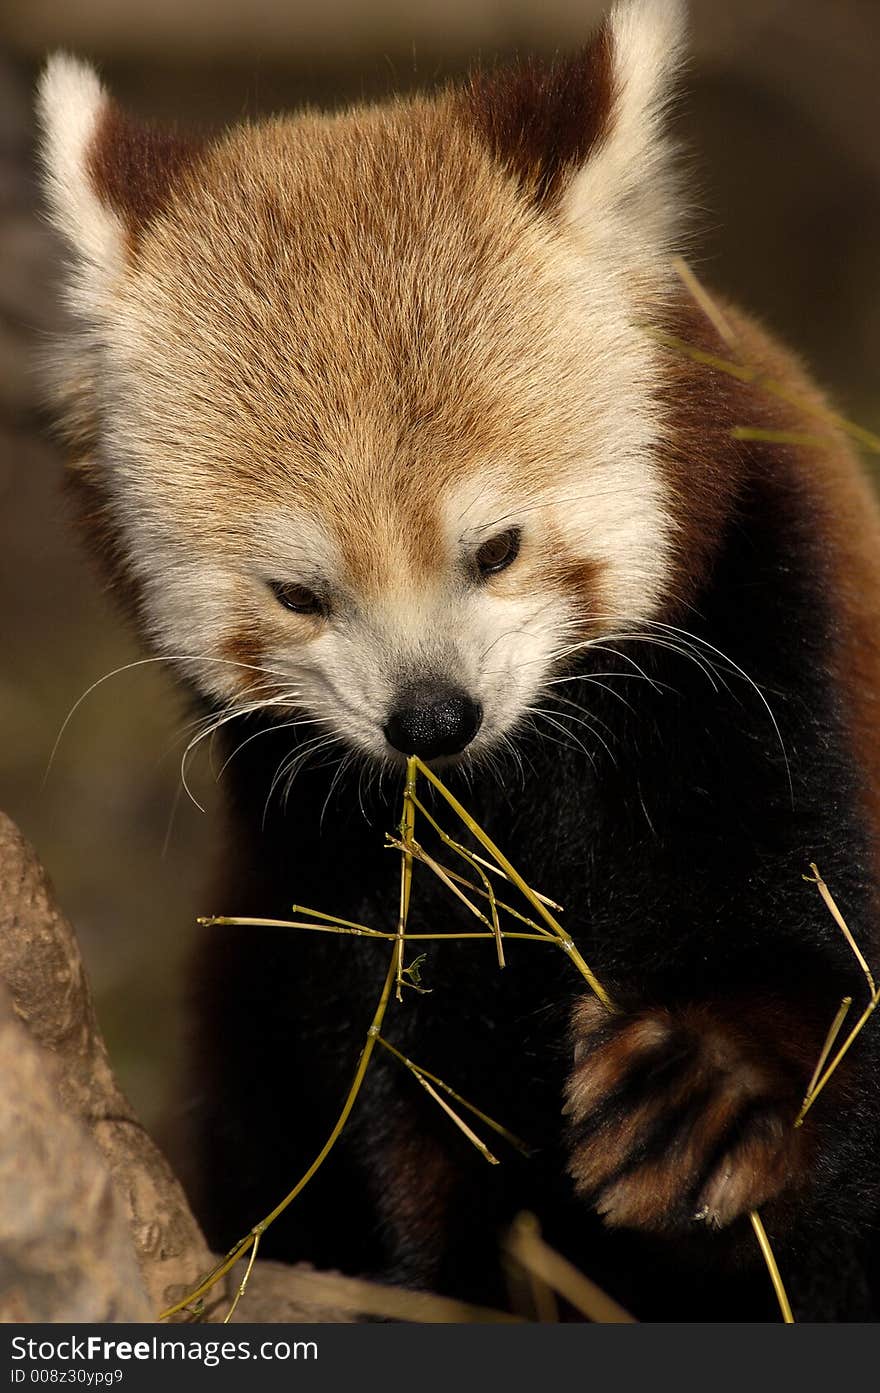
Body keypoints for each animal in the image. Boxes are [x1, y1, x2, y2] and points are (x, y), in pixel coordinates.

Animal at [37, 0, 880, 1314]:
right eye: (299, 594)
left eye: (497, 548)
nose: (431, 718)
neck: (515, 792)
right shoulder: (325, 857)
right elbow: (384, 1095)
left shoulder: (772, 641)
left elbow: (821, 958)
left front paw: (714, 1083)